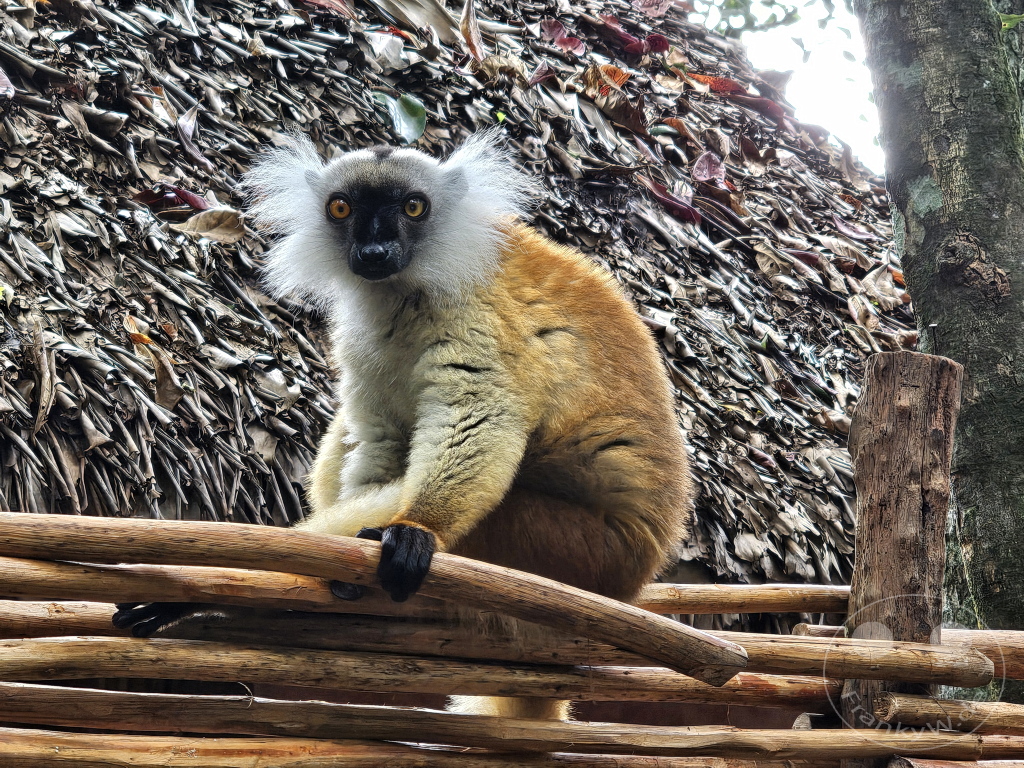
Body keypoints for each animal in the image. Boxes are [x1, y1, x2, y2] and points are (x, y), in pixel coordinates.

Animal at [114, 132, 693, 720]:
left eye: (414, 208)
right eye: (341, 209)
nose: (373, 252)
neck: (405, 287)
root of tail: (635, 577)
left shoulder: (473, 310)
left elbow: (477, 416)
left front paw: (417, 529)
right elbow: (382, 435)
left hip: (576, 554)